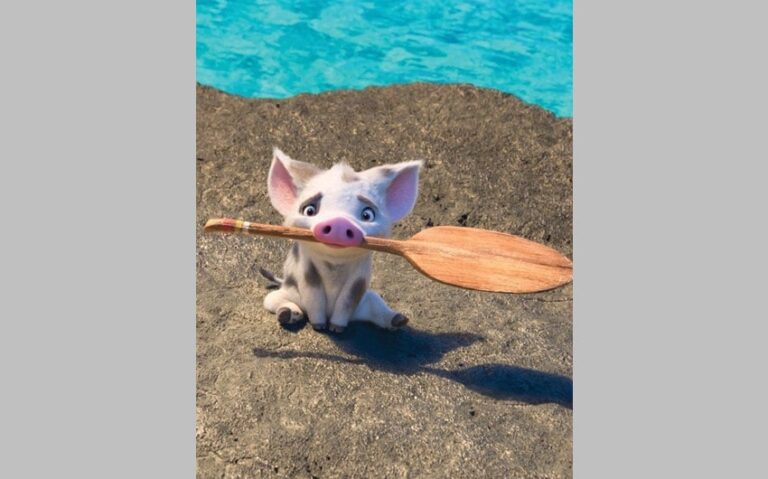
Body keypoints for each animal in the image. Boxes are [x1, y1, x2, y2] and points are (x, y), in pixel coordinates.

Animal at [261, 148, 422, 333]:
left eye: (367, 214)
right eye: (309, 210)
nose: (340, 222)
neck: (334, 264)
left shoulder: (360, 276)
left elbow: (349, 297)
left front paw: (336, 329)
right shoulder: (306, 270)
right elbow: (313, 294)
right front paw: (320, 327)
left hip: (367, 301)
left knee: (378, 305)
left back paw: (400, 320)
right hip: (288, 292)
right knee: (273, 300)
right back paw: (287, 315)